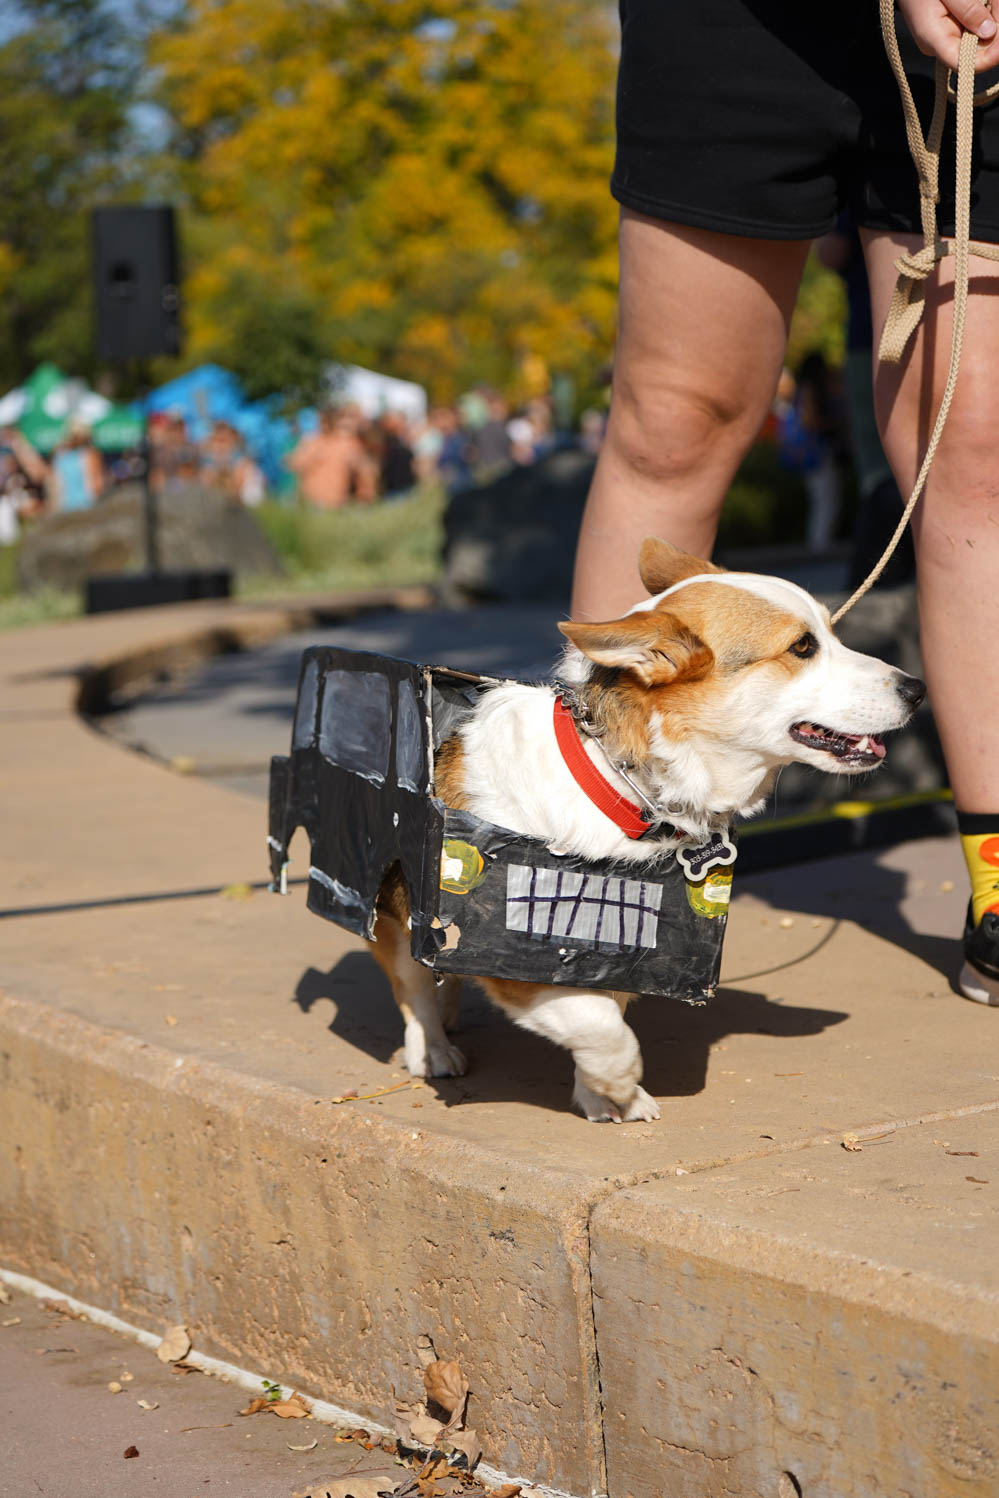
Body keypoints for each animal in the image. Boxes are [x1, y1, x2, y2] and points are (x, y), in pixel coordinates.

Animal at [371, 542, 928, 1126]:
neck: (621, 785)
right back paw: (432, 1048)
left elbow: (601, 1009)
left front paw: (599, 1095)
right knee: (412, 985)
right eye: (802, 647)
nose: (918, 689)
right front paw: (619, 1081)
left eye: (831, 633)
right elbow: (601, 1025)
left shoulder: (616, 951)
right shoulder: (511, 957)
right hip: (396, 908)